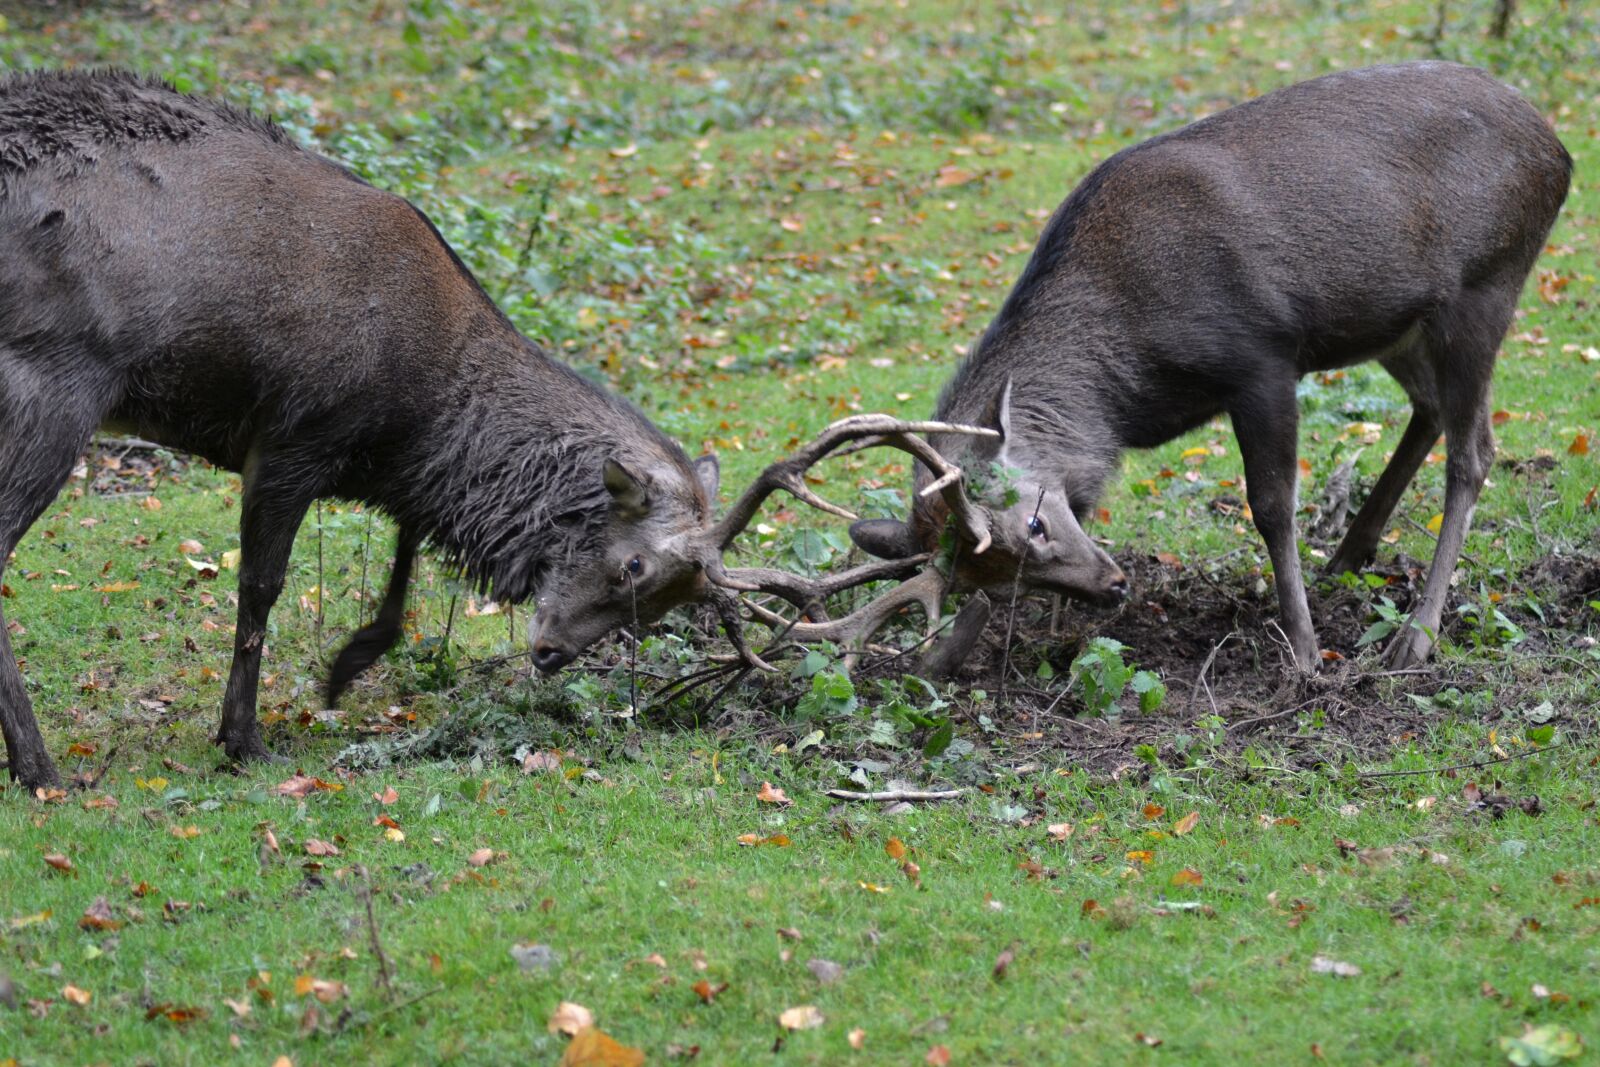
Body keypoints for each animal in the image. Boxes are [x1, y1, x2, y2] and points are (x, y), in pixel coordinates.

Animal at [0, 70, 995, 791]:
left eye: (662, 607)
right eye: (635, 569)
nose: (551, 655)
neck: (425, 403)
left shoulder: (384, 468)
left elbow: (403, 562)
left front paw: (345, 666)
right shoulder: (292, 437)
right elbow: (260, 592)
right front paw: (242, 737)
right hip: (52, 380)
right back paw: (43, 768)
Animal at [844, 62, 1571, 676]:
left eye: (1034, 524)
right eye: (994, 581)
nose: (1113, 587)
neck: (1127, 386)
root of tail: (1558, 150)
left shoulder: (1262, 358)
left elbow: (1272, 507)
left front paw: (1304, 652)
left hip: (1486, 285)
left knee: (1474, 451)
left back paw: (1413, 637)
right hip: (1398, 324)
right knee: (1431, 409)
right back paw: (1347, 554)